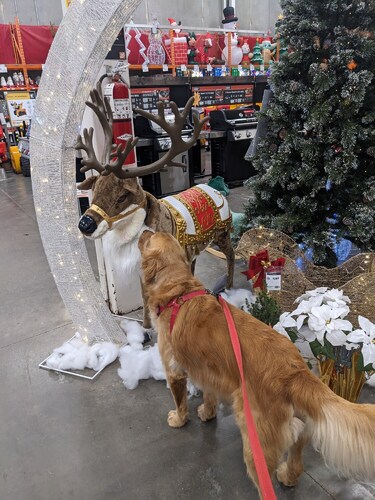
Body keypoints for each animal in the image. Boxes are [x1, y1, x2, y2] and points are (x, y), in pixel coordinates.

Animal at [139, 230, 375, 496]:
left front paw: (178, 419)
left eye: (149, 238)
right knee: (297, 465)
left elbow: (180, 402)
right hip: (300, 432)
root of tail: (295, 372)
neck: (179, 291)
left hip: (256, 446)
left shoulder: (175, 371)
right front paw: (207, 413)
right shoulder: (208, 371)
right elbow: (209, 396)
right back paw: (288, 477)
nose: (144, 229)